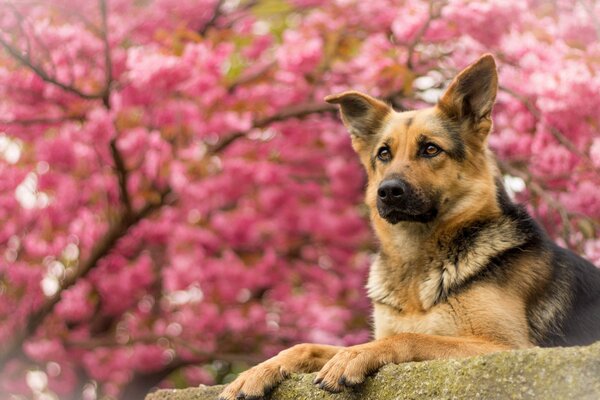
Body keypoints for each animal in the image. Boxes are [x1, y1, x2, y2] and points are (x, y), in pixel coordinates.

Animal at [220, 54, 600, 400]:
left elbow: (411, 336)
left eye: (430, 149)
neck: (418, 267)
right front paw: (258, 371)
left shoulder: (506, 347)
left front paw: (355, 357)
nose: (388, 191)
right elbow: (307, 347)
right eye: (383, 154)